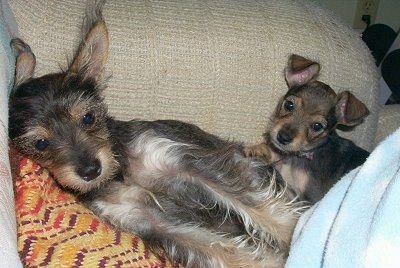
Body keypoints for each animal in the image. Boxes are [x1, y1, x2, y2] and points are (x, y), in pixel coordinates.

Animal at [8, 2, 304, 268]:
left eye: (88, 117)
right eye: (41, 143)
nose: (90, 171)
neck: (120, 170)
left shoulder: (194, 164)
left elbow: (262, 208)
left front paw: (297, 231)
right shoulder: (153, 222)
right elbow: (225, 252)